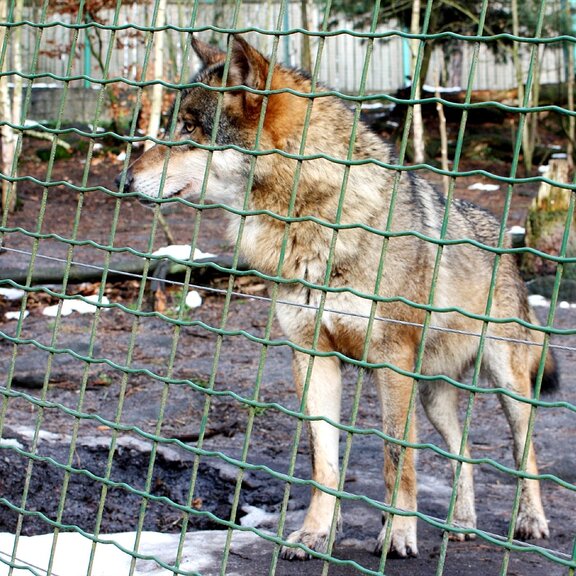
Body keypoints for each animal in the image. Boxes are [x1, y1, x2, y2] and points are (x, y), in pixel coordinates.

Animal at [118, 34, 558, 560]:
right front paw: (314, 535)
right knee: (463, 452)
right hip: (433, 395)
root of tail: (507, 242)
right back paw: (461, 523)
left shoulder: (391, 362)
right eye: (171, 125)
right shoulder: (312, 356)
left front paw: (397, 535)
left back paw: (530, 522)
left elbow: (396, 456)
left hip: (506, 385)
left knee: (524, 454)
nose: (123, 181)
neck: (310, 221)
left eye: (188, 128)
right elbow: (322, 461)